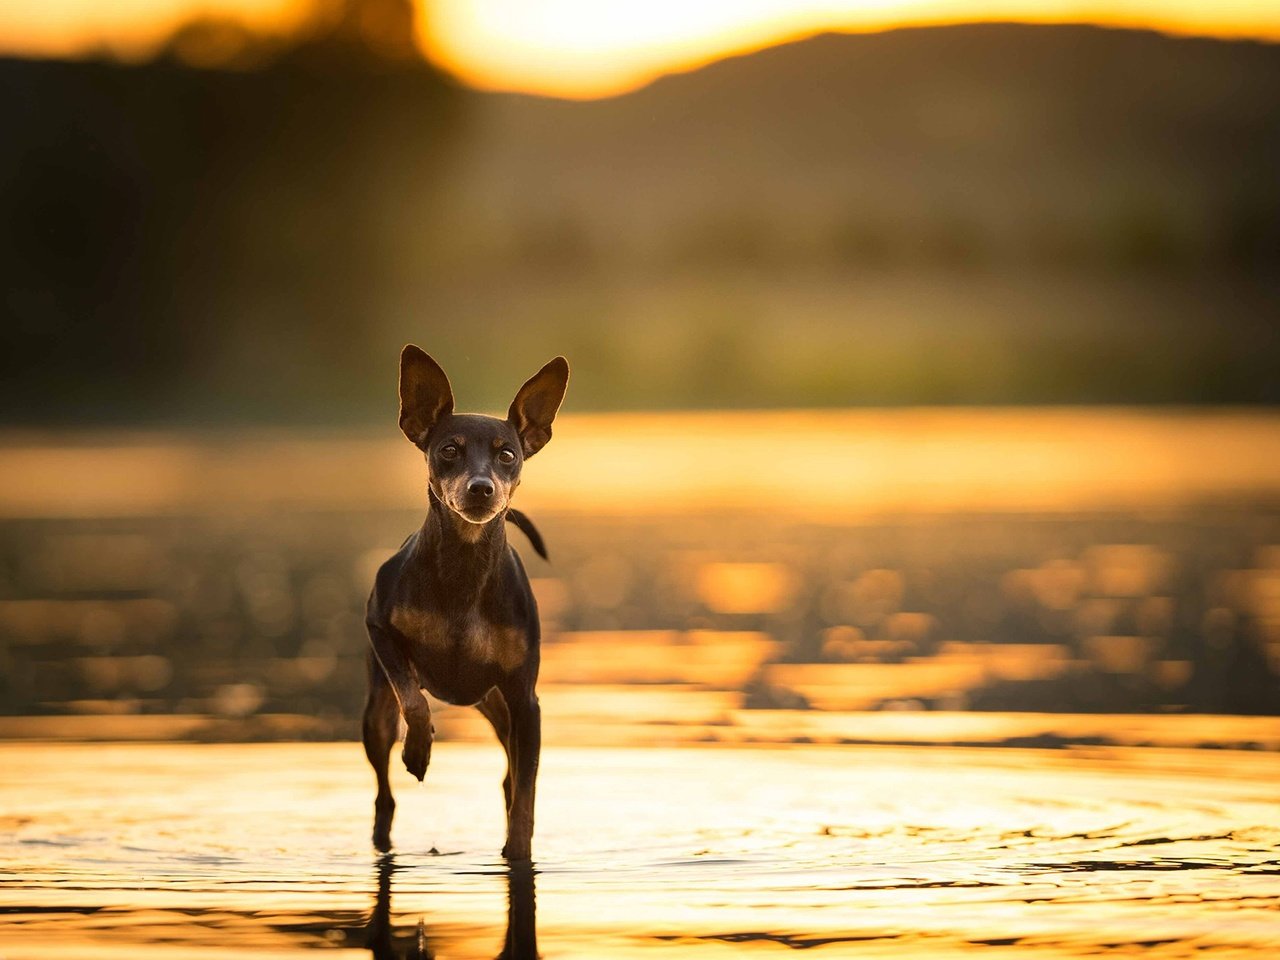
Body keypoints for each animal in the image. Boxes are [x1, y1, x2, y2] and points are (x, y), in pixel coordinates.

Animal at [363, 350, 568, 860]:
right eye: (449, 450)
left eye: (507, 454)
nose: (481, 488)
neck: (464, 575)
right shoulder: (378, 627)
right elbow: (414, 698)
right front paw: (418, 750)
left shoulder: (526, 703)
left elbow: (525, 797)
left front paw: (518, 851)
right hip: (376, 714)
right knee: (384, 797)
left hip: (498, 707)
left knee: (508, 780)